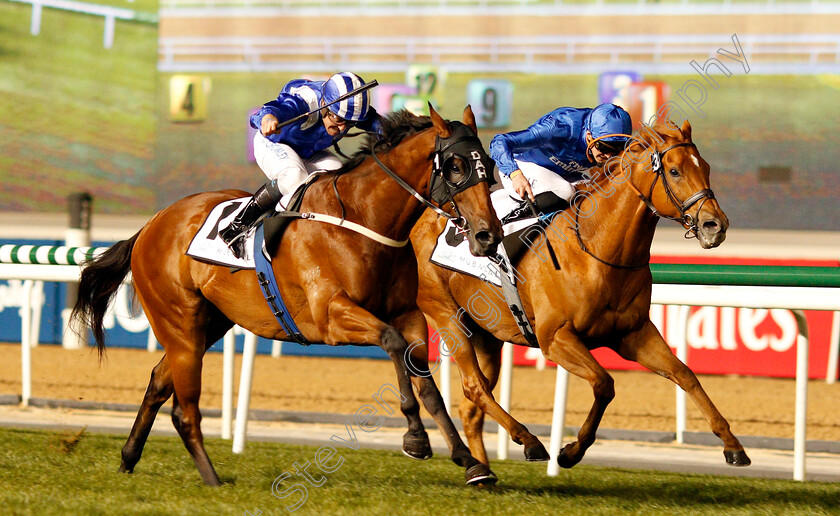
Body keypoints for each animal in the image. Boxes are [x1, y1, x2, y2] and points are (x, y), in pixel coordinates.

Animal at [72, 107, 502, 486]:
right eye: (456, 166)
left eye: (488, 165)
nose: (488, 235)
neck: (361, 217)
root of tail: (150, 225)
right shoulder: (332, 316)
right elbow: (393, 345)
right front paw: (416, 437)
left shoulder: (407, 313)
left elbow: (428, 385)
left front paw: (470, 463)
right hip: (180, 326)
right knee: (185, 409)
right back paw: (211, 479)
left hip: (207, 324)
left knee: (160, 384)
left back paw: (128, 459)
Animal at [410, 119, 752, 470]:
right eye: (674, 171)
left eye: (706, 168)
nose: (715, 225)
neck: (596, 250)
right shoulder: (555, 338)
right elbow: (604, 384)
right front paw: (571, 451)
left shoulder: (634, 333)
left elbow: (685, 374)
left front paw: (732, 445)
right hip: (447, 315)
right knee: (474, 388)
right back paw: (529, 442)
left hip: (487, 334)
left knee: (472, 406)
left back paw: (484, 471)